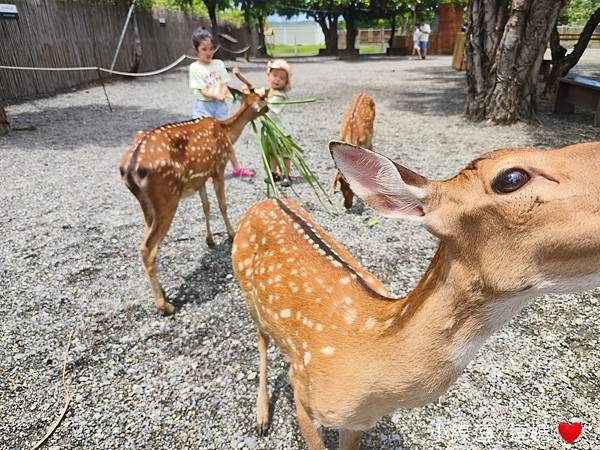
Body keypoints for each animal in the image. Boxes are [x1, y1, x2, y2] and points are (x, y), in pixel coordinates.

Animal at [120, 68, 266, 314]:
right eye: (262, 98)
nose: (269, 108)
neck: (226, 131)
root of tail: (129, 168)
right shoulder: (218, 166)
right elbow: (222, 204)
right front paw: (231, 235)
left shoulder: (200, 179)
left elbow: (206, 207)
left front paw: (210, 240)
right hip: (167, 197)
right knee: (147, 248)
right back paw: (165, 305)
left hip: (146, 204)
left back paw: (164, 294)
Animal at [232, 142, 600, 450]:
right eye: (511, 178)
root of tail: (267, 199)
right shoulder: (306, 400)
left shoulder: (358, 424)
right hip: (247, 293)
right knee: (261, 338)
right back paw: (261, 417)